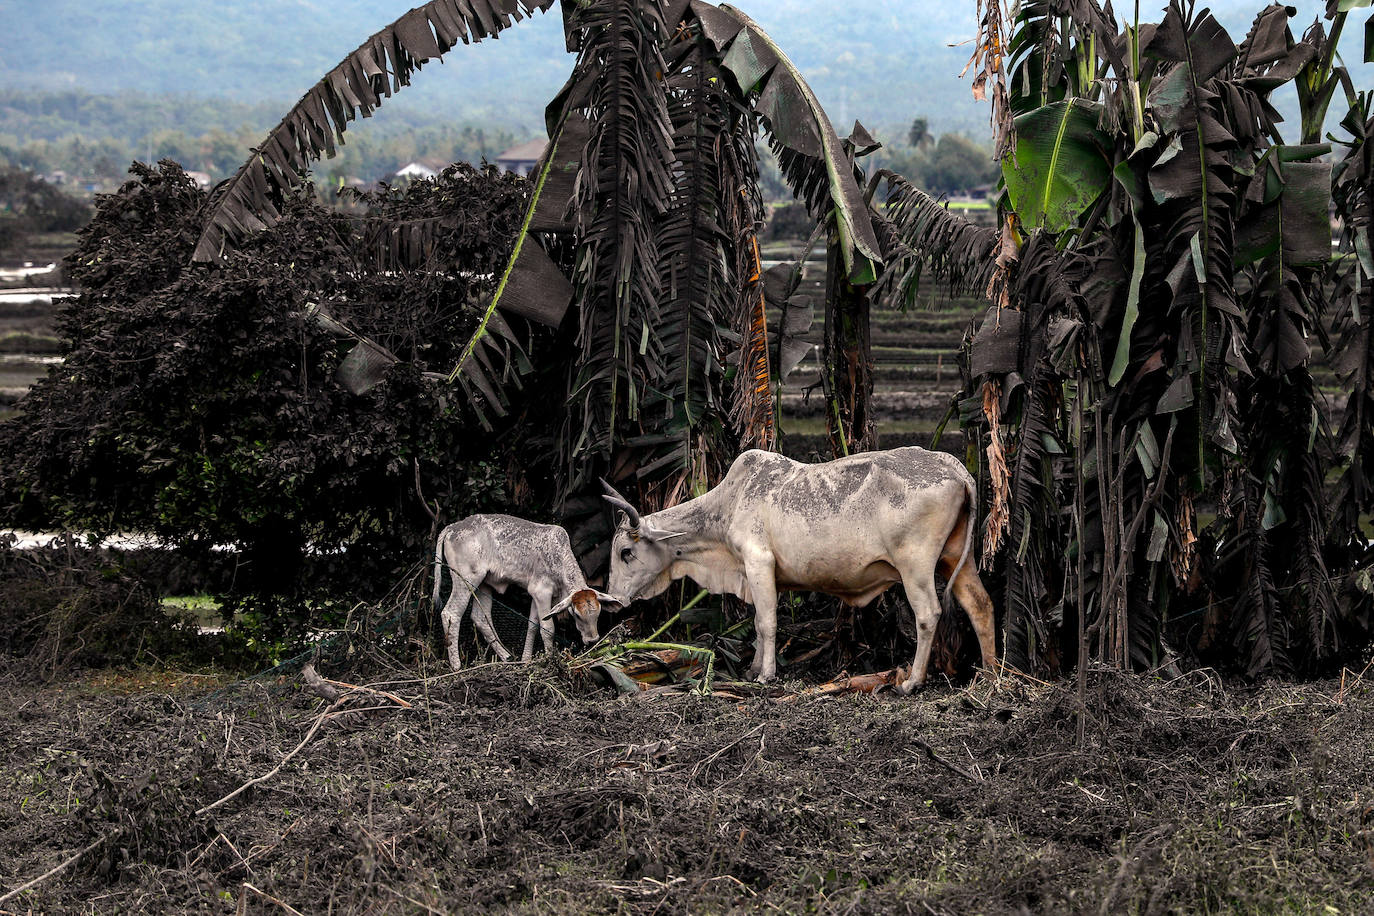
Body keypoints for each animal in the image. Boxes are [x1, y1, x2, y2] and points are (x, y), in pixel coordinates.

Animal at [431, 516, 621, 672]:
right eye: (577, 615)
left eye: (598, 613)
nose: (592, 640)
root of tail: (451, 527)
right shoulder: (542, 592)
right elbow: (547, 628)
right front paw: (551, 661)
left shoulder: (537, 596)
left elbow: (533, 625)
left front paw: (526, 660)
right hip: (464, 579)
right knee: (451, 613)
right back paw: (456, 666)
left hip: (483, 584)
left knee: (480, 618)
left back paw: (507, 656)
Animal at [601, 447, 1000, 692]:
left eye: (625, 552)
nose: (612, 600)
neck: (727, 505)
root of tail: (953, 465)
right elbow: (758, 625)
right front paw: (753, 668)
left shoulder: (758, 562)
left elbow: (766, 623)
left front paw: (765, 675)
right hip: (956, 559)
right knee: (980, 605)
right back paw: (991, 673)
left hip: (915, 565)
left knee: (928, 614)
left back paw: (913, 681)